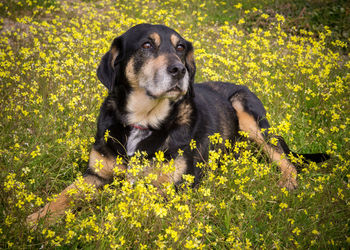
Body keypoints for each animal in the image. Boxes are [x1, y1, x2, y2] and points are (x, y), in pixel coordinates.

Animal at [26, 23, 328, 223]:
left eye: (180, 47)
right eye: (147, 45)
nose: (179, 70)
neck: (143, 121)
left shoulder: (174, 188)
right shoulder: (95, 175)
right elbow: (63, 197)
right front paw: (35, 220)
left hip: (248, 115)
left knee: (287, 161)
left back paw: (287, 184)